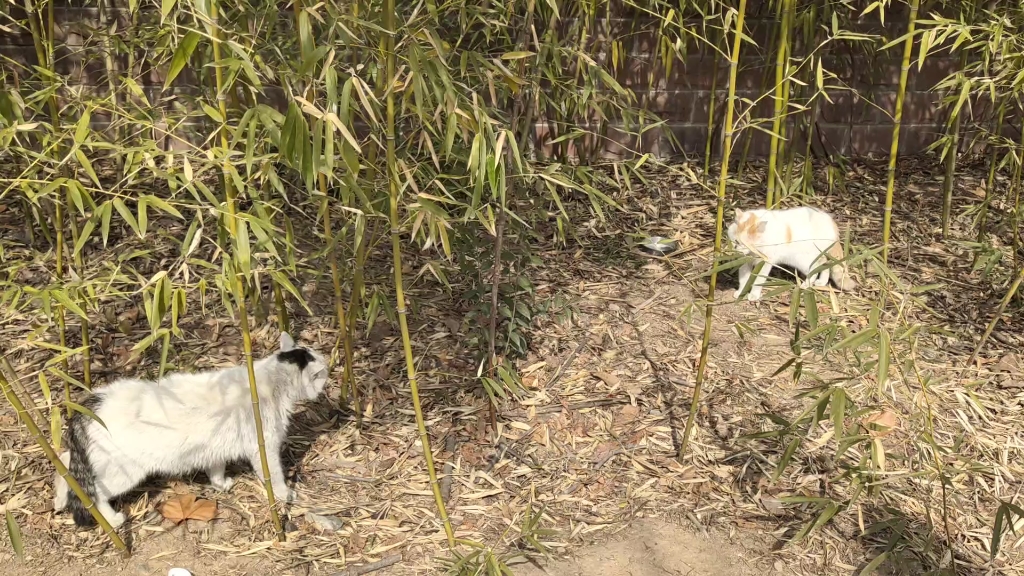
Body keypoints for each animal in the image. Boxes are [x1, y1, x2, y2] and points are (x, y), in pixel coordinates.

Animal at [724, 204, 860, 301]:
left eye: (747, 244)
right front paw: (741, 292)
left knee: (815, 269)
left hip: (803, 260)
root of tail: (831, 222)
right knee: (824, 265)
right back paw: (821, 282)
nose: (738, 250)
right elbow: (744, 278)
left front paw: (753, 295)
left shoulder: (765, 262)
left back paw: (806, 285)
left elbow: (758, 280)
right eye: (736, 241)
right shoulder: (743, 262)